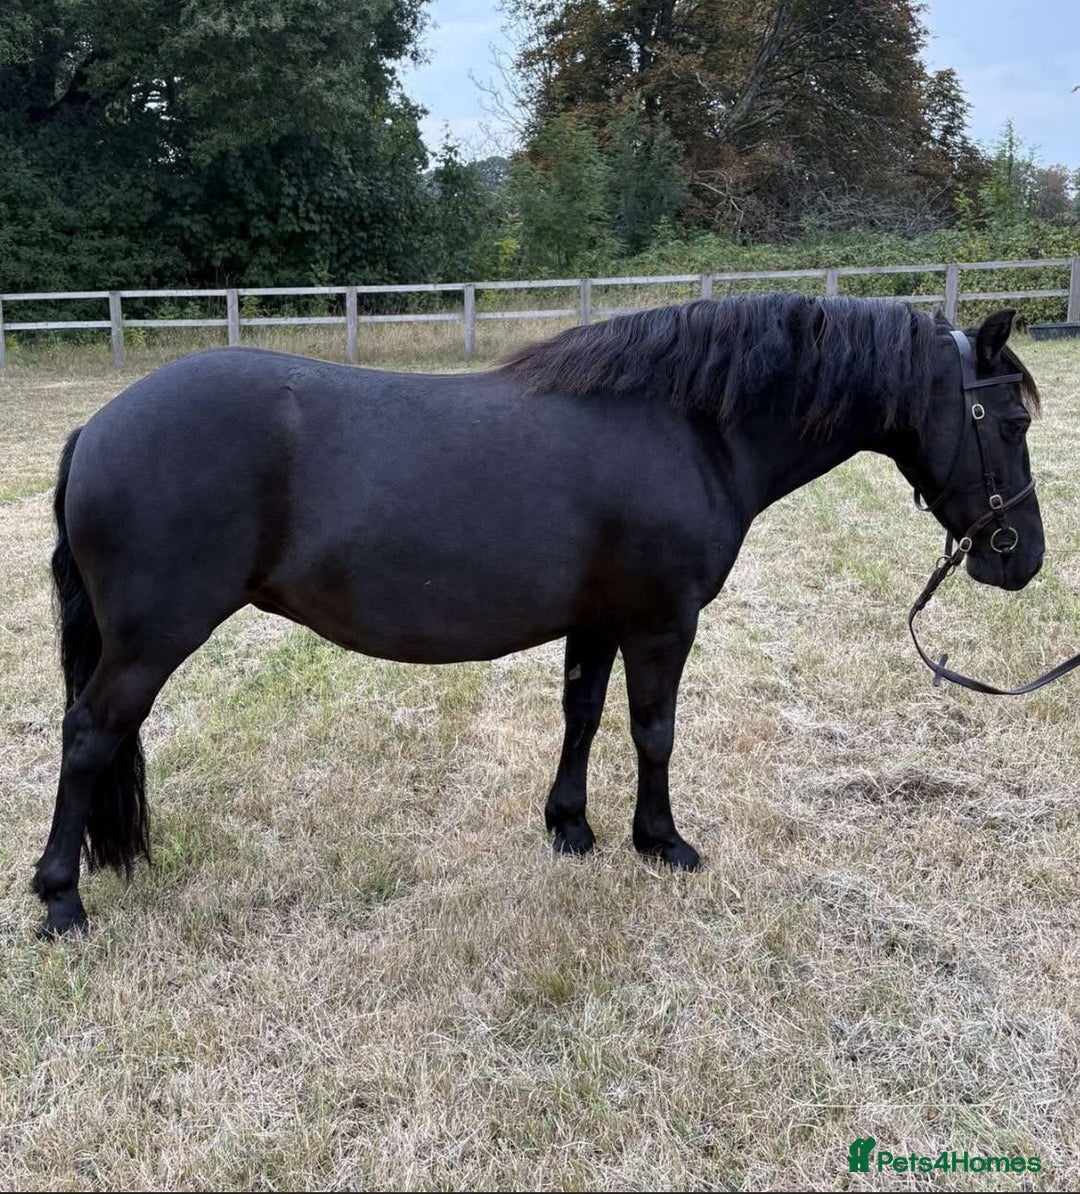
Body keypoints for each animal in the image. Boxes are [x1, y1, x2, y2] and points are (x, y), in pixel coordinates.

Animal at [31, 294, 1042, 937]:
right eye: (1010, 420)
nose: (1020, 556)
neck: (687, 427)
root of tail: (99, 428)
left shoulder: (596, 620)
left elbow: (583, 716)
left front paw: (570, 829)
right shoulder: (662, 623)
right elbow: (653, 729)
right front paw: (661, 841)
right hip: (149, 642)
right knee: (88, 737)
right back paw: (60, 902)